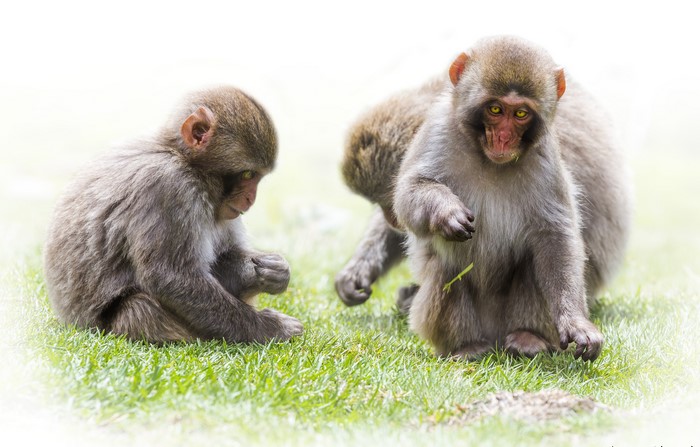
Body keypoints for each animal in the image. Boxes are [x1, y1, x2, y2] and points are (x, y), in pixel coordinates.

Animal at [43, 86, 303, 344]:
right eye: (249, 174)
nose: (251, 198)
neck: (180, 157)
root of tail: (69, 320)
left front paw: (269, 271)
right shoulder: (168, 187)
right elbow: (170, 278)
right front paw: (269, 328)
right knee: (141, 307)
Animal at [393, 36, 631, 361]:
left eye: (520, 113)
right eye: (495, 109)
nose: (504, 138)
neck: (487, 159)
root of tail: (495, 337)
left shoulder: (546, 158)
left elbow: (555, 236)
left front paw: (576, 322)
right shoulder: (437, 131)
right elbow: (408, 195)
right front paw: (446, 212)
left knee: (535, 260)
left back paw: (527, 338)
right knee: (446, 268)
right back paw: (466, 347)